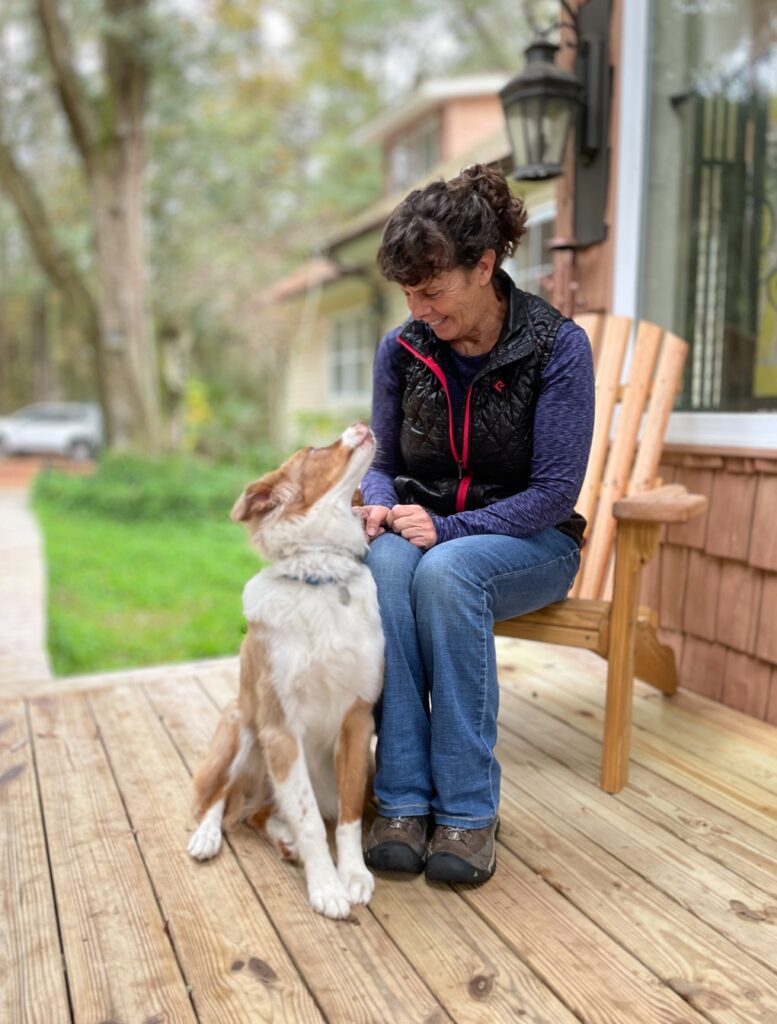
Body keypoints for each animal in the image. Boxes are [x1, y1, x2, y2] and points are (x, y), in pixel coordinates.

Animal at [186, 423, 386, 921]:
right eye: (314, 450)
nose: (363, 424)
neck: (322, 575)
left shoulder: (358, 720)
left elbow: (348, 815)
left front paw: (352, 875)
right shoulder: (279, 730)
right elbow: (311, 820)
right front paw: (327, 887)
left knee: (259, 812)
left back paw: (284, 839)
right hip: (241, 725)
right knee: (220, 799)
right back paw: (208, 837)